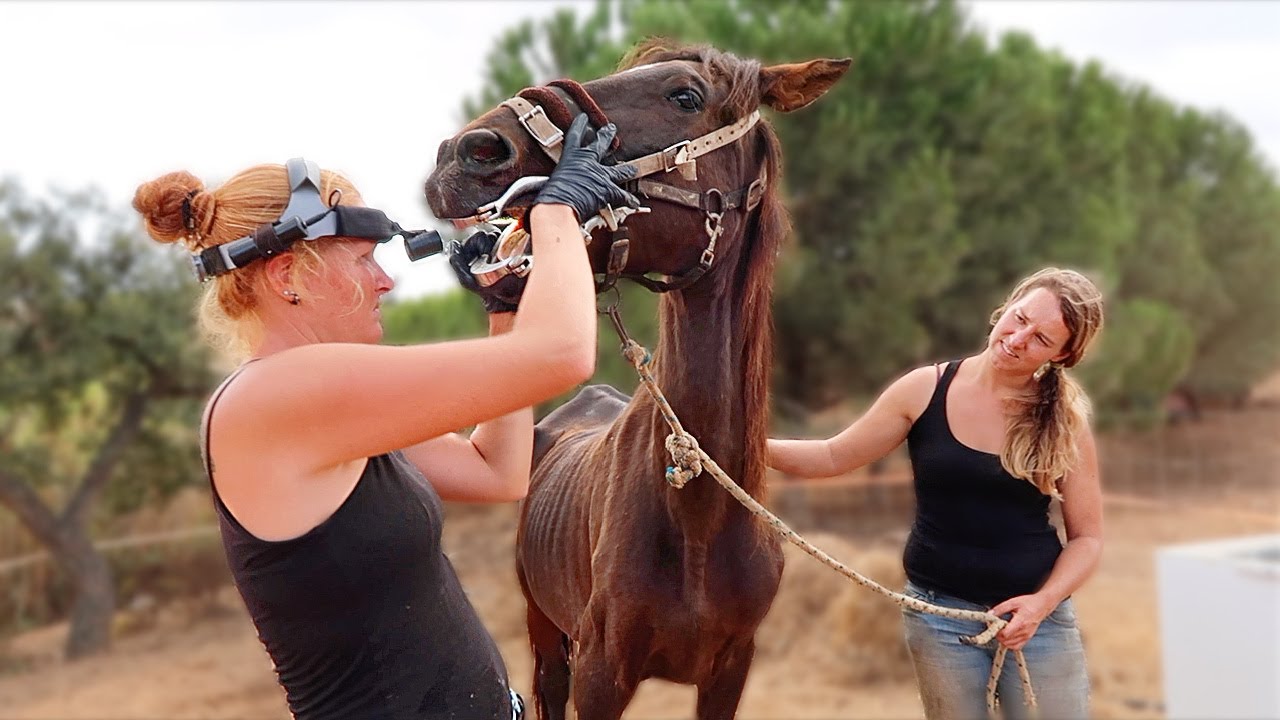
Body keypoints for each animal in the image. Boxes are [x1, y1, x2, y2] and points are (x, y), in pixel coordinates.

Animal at [424, 39, 849, 720]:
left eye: (686, 96)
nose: (469, 151)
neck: (698, 517)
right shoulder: (602, 669)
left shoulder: (730, 671)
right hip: (545, 632)